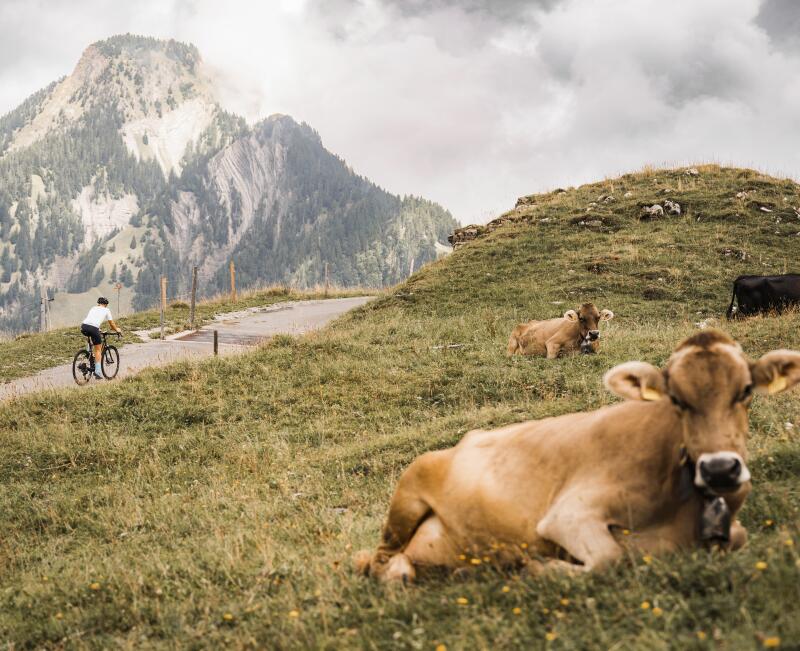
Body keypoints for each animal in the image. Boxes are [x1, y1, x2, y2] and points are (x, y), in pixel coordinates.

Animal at [356, 334, 800, 584]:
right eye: (676, 398)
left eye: (746, 391)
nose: (721, 468)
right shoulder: (568, 513)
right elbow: (610, 558)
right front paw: (537, 568)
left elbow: (739, 537)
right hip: (406, 495)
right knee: (381, 561)